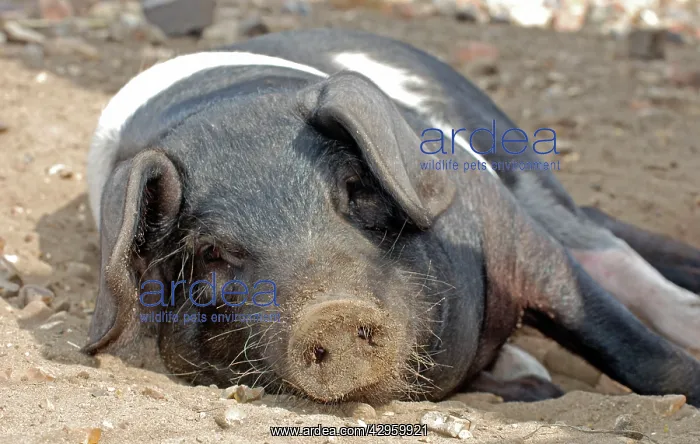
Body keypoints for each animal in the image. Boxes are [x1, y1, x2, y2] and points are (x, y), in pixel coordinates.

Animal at [83, 28, 700, 405]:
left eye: (354, 191)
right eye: (211, 253)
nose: (331, 313)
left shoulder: (508, 227)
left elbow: (632, 347)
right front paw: (532, 382)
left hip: (522, 165)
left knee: (602, 241)